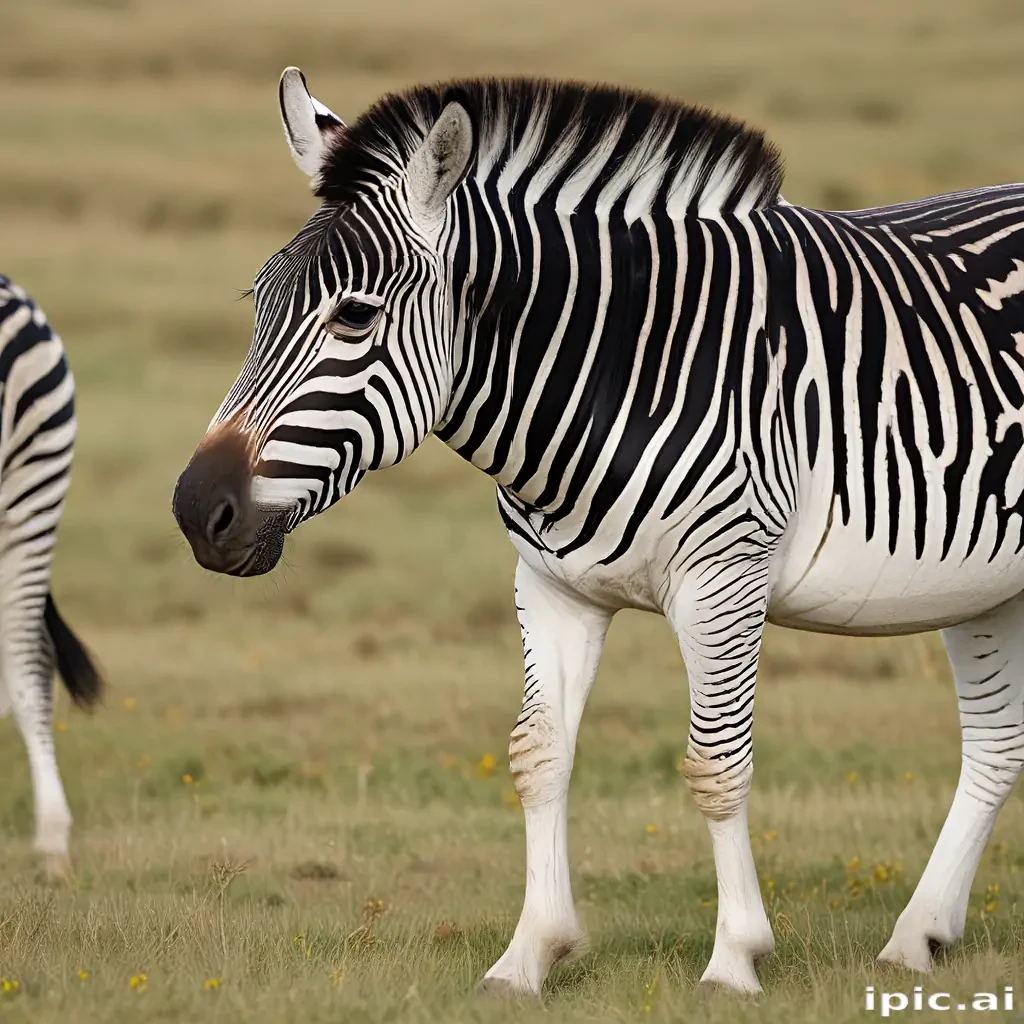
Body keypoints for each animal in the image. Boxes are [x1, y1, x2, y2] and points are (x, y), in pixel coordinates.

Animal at [173, 68, 1024, 993]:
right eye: (257, 303)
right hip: (986, 585)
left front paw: (734, 959)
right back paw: (918, 936)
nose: (195, 511)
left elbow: (716, 764)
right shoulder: (551, 586)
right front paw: (528, 954)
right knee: (996, 744)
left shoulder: (725, 577)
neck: (623, 365)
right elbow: (537, 755)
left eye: (355, 317)